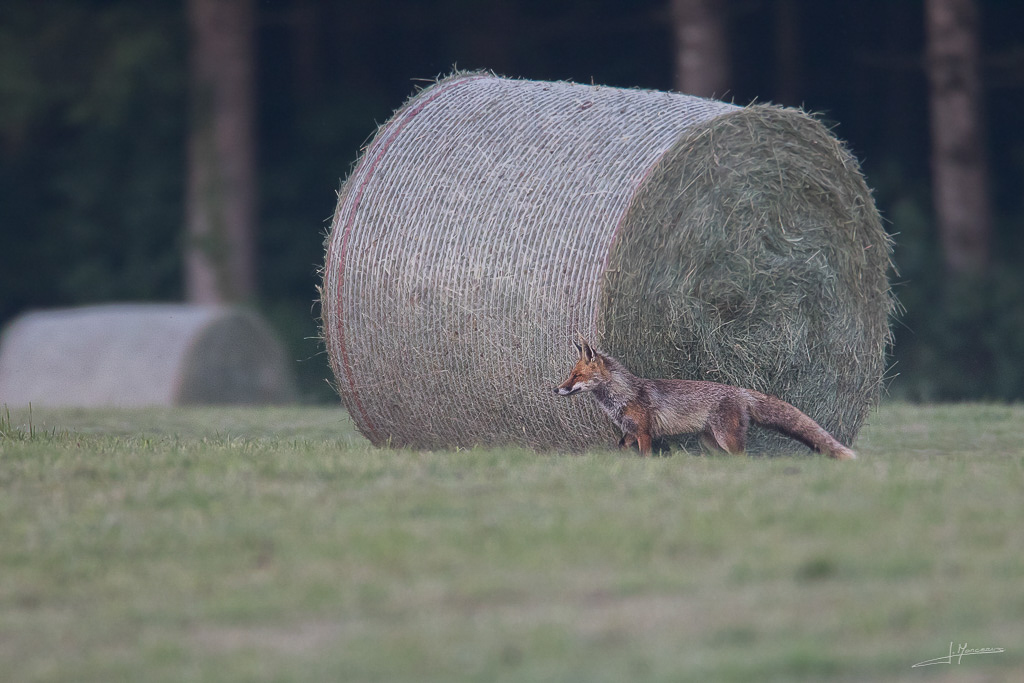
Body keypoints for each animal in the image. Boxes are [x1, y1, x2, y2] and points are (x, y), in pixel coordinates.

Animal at [554, 336, 856, 460]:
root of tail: (740, 390)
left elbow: (645, 457)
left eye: (576, 376)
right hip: (710, 443)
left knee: (745, 459)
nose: (555, 389)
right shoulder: (628, 434)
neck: (623, 396)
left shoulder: (644, 433)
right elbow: (621, 450)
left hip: (726, 440)